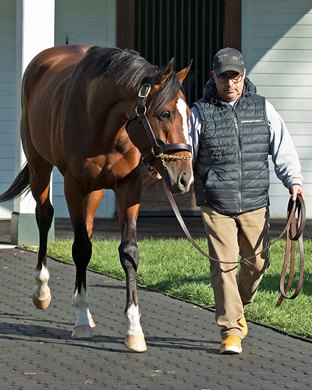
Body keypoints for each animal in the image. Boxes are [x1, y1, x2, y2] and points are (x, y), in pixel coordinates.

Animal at [0, 45, 193, 354]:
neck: (106, 123)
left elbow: (129, 252)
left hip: (95, 190)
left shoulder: (129, 186)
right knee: (44, 215)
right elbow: (80, 249)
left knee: (87, 230)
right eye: (164, 113)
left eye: (188, 114)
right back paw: (42, 292)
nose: (185, 178)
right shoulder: (73, 185)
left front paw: (134, 330)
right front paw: (80, 321)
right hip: (40, 167)